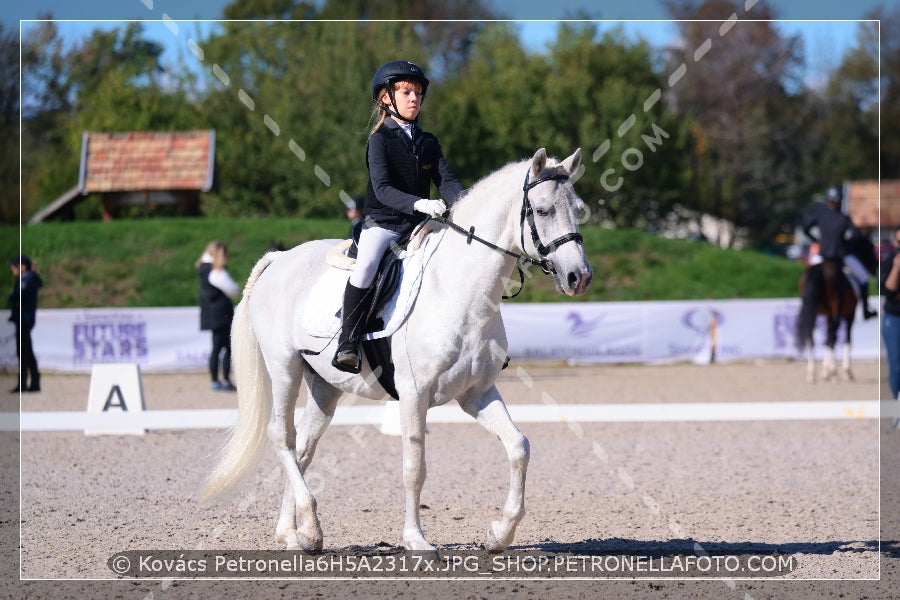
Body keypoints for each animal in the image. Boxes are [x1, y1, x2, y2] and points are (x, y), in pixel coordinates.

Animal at [201, 148, 596, 552]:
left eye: (579, 209)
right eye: (543, 210)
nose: (579, 278)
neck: (460, 289)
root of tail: (279, 258)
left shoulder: (477, 394)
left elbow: (519, 447)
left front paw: (499, 534)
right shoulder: (413, 396)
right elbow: (414, 468)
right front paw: (416, 539)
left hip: (324, 386)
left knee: (303, 446)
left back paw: (297, 532)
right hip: (284, 368)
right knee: (282, 437)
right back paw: (304, 528)